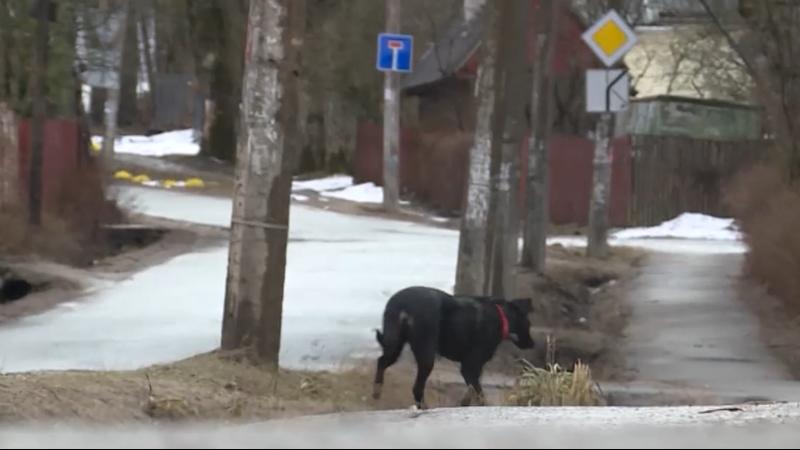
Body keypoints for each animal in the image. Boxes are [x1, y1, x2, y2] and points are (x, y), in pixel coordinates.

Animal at [374, 286, 536, 410]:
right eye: (529, 324)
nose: (532, 344)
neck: (502, 317)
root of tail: (404, 304)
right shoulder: (470, 366)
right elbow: (479, 393)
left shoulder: (473, 369)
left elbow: (472, 390)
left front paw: (464, 403)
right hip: (426, 355)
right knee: (417, 387)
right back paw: (423, 408)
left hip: (394, 346)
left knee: (381, 361)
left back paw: (376, 392)